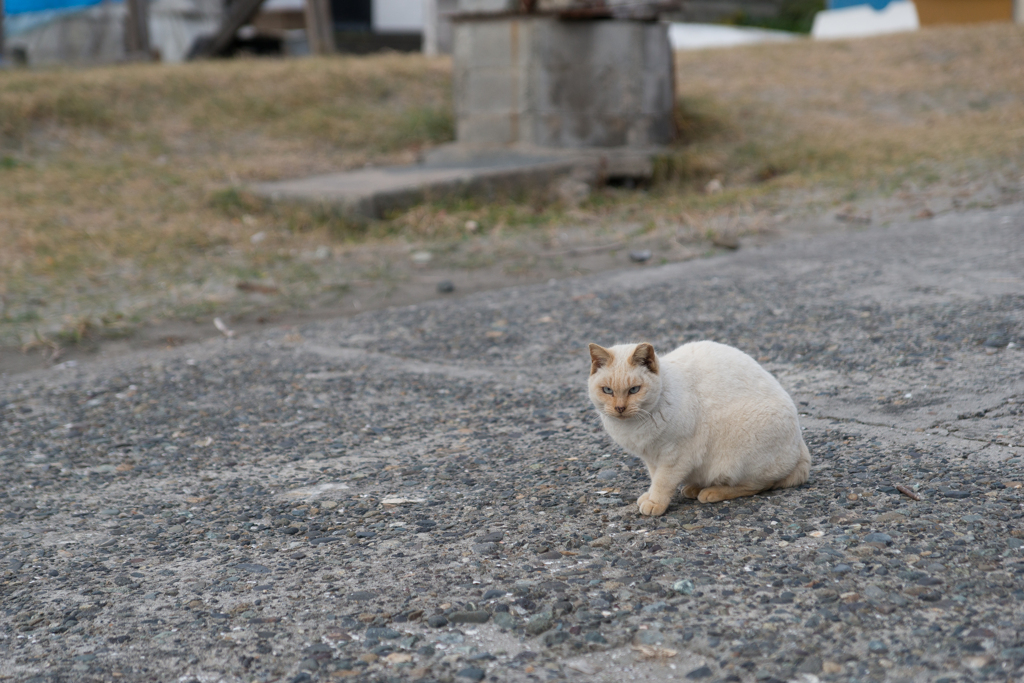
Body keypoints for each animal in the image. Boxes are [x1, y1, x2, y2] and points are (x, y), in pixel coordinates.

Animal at [589, 339, 811, 516]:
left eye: (634, 390)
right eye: (607, 391)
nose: (619, 408)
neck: (631, 426)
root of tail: (801, 447)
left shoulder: (674, 456)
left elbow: (662, 482)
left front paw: (654, 503)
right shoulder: (651, 457)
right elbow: (654, 478)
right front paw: (649, 497)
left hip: (740, 452)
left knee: (760, 485)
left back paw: (711, 492)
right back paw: (694, 489)